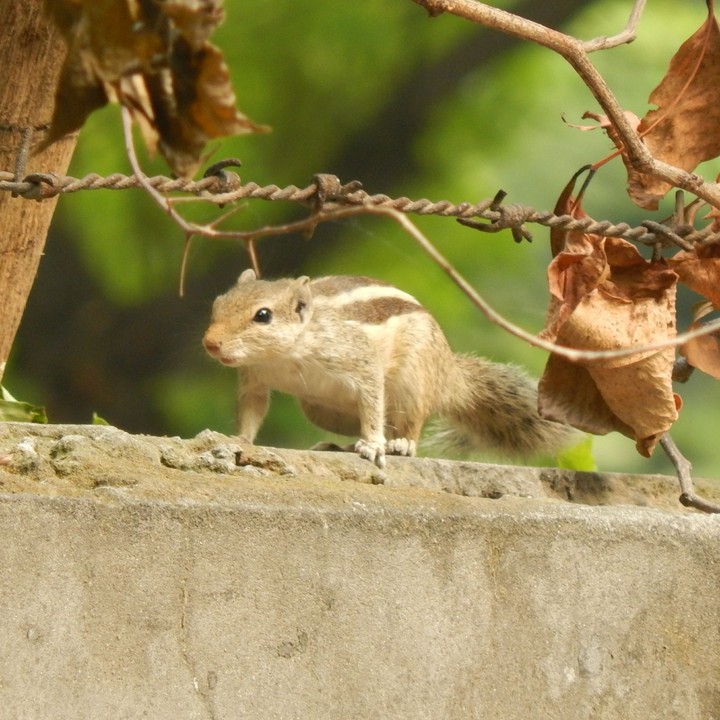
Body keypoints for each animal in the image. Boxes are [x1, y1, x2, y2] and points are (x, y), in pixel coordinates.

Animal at [203, 269, 575, 468]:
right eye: (217, 304)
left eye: (263, 315)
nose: (210, 344)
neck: (285, 355)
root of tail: (448, 373)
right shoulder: (253, 378)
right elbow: (253, 409)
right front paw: (238, 438)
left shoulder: (360, 363)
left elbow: (372, 400)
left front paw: (373, 445)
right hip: (321, 411)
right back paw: (339, 447)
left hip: (413, 385)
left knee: (406, 424)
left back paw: (399, 445)